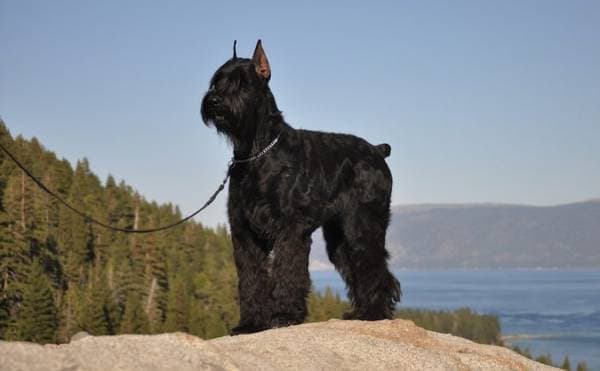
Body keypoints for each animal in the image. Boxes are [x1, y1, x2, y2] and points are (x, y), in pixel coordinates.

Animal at [199, 40, 400, 338]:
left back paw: (374, 313)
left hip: (362, 226)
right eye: (216, 81)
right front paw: (251, 323)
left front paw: (283, 316)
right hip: (338, 238)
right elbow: (251, 278)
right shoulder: (244, 232)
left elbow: (287, 272)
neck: (257, 151)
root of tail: (377, 151)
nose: (213, 100)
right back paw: (360, 312)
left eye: (242, 83)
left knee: (375, 267)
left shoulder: (290, 230)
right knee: (358, 267)